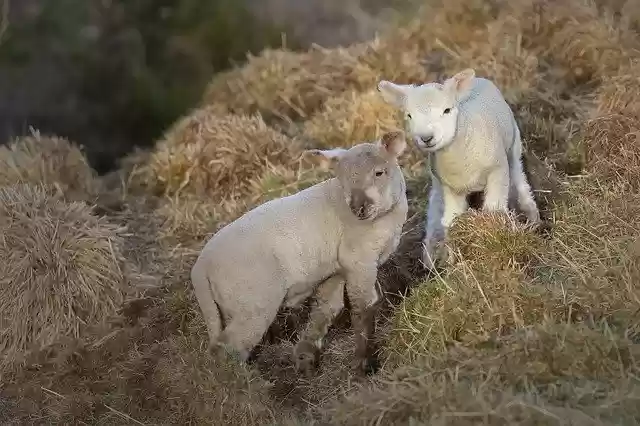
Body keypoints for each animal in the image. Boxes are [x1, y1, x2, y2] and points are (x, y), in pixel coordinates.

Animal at [190, 131, 409, 376]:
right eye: (342, 182)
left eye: (379, 172)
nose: (358, 209)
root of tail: (200, 269)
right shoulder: (359, 261)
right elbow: (364, 307)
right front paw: (364, 363)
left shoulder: (336, 270)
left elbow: (326, 309)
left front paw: (306, 358)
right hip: (253, 304)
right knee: (227, 350)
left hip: (229, 307)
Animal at [377, 69, 540, 269]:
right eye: (409, 115)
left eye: (447, 110)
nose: (426, 138)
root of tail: (479, 79)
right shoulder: (451, 187)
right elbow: (450, 221)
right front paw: (453, 261)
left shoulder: (497, 171)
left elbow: (494, 210)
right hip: (438, 182)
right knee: (436, 207)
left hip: (513, 149)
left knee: (520, 179)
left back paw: (533, 218)